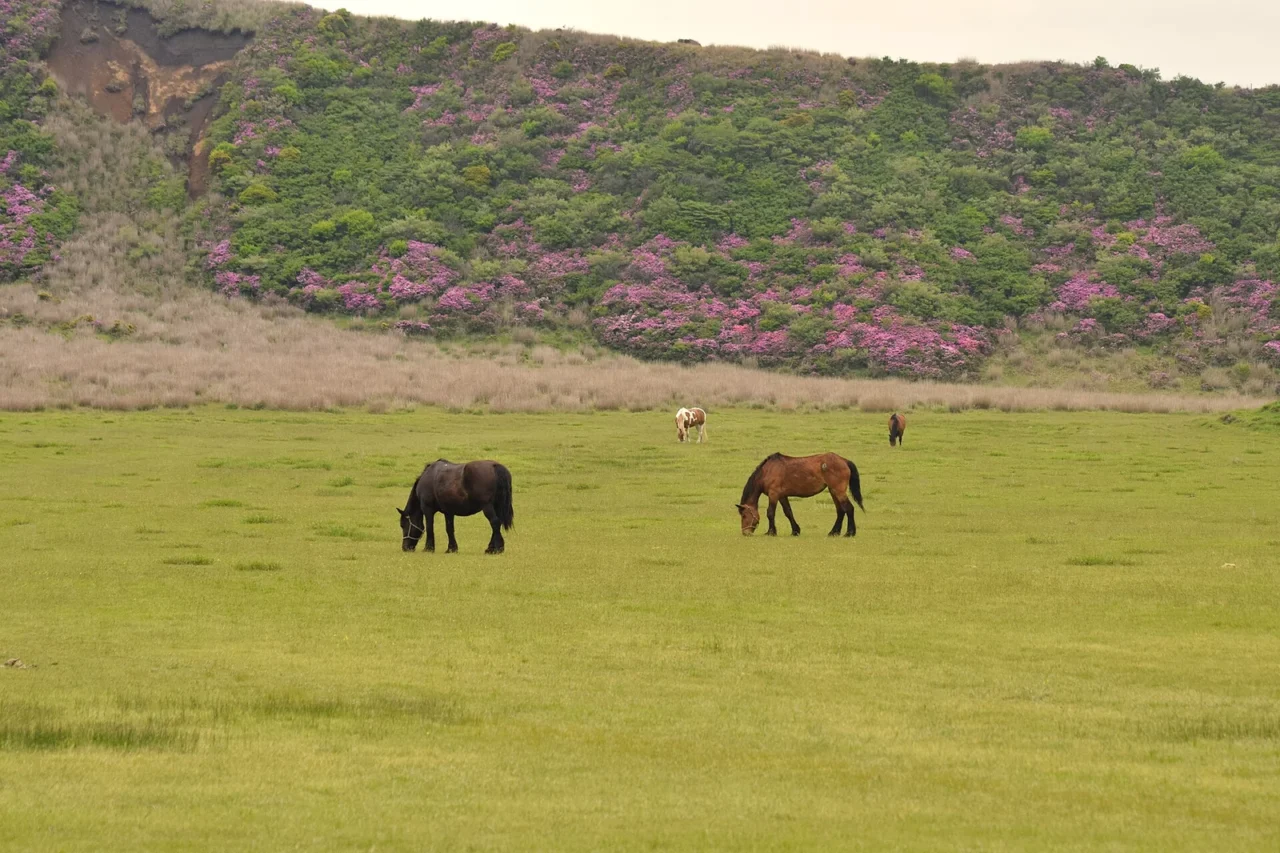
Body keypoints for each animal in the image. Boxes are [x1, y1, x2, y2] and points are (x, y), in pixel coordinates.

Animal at [736, 452, 864, 537]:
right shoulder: (782, 496)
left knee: (849, 508)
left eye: (744, 516)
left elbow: (770, 513)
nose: (745, 533)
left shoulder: (774, 495)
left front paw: (771, 532)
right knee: (841, 511)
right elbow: (788, 512)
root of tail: (844, 460)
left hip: (838, 491)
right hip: (833, 491)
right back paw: (834, 532)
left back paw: (849, 533)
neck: (767, 471)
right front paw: (795, 531)